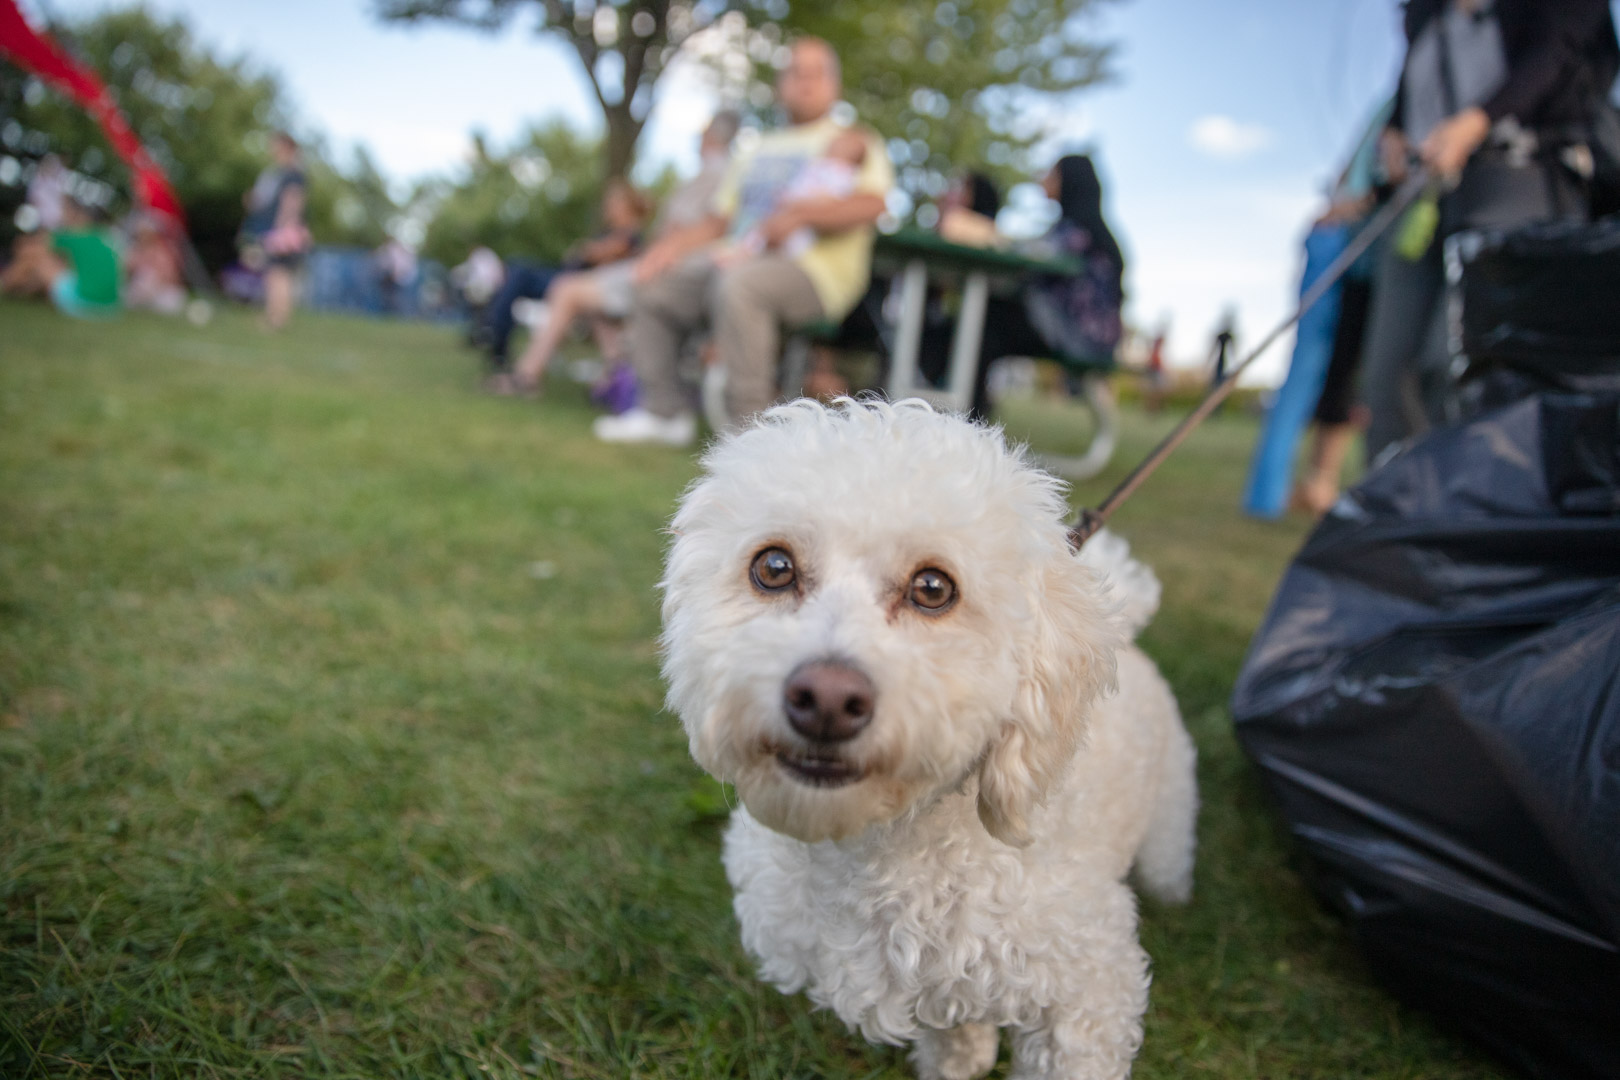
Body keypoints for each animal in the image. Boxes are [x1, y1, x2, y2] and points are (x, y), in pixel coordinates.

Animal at [660, 399, 1205, 1080]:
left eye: (933, 588)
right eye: (774, 567)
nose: (827, 700)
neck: (882, 855)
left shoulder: (1088, 995)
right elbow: (956, 1029)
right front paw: (962, 1059)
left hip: (1168, 822)